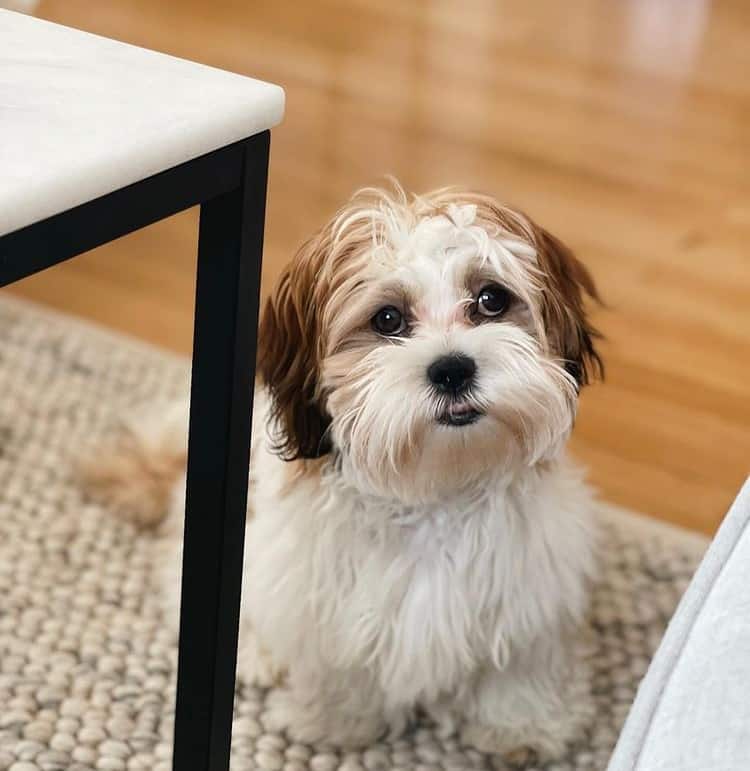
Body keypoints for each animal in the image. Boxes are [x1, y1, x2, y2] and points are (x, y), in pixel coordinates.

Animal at [85, 182, 604, 764]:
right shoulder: (322, 594)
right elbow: (339, 662)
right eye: (387, 320)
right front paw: (338, 722)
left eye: (491, 300)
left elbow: (517, 666)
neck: (436, 490)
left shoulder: (529, 587)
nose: (452, 369)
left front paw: (520, 728)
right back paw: (253, 653)